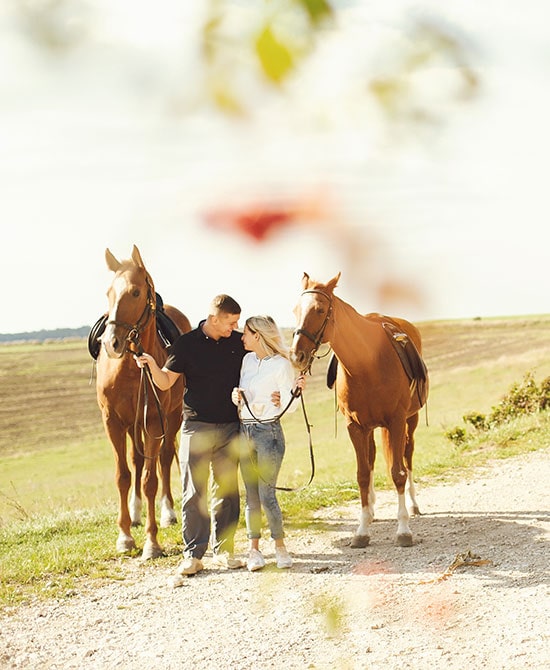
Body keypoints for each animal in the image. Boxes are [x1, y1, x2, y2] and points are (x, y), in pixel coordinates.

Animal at [98, 247, 193, 560]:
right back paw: (136, 513)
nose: (111, 343)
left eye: (136, 292)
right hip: (132, 425)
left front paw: (152, 542)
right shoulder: (113, 422)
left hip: (170, 419)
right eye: (109, 293)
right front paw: (125, 536)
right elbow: (123, 476)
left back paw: (168, 512)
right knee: (135, 461)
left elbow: (150, 479)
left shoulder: (154, 421)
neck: (129, 368)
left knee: (163, 460)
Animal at [292, 274, 430, 552]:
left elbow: (398, 472)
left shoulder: (396, 422)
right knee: (373, 458)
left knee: (407, 457)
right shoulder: (355, 427)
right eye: (295, 310)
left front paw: (403, 530)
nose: (296, 355)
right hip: (371, 428)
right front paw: (362, 530)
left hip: (411, 420)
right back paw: (373, 509)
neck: (367, 364)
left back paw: (413, 504)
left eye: (319, 310)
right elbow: (363, 475)